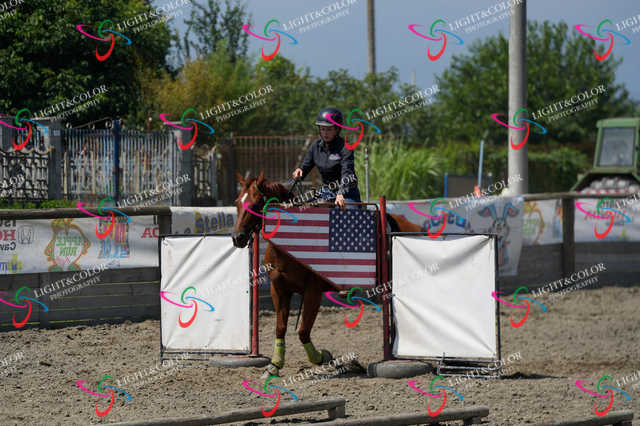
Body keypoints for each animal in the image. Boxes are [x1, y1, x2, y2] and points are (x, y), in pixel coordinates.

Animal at [231, 171, 421, 377]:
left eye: (256, 203)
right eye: (237, 202)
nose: (237, 238)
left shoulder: (313, 292)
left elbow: (303, 331)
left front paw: (325, 358)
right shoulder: (279, 289)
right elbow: (280, 328)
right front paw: (274, 365)